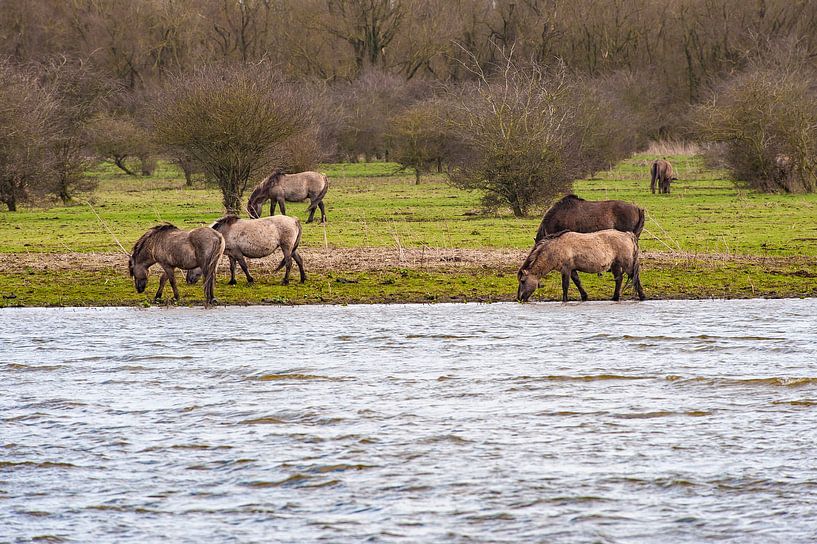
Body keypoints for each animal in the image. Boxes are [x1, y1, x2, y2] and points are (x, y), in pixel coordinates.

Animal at [516, 230, 644, 304]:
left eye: (522, 281)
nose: (519, 298)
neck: (555, 248)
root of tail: (628, 235)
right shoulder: (572, 269)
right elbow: (577, 282)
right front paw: (584, 296)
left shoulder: (566, 269)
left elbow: (565, 286)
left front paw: (565, 300)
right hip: (615, 265)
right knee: (619, 279)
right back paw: (614, 298)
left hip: (627, 264)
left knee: (635, 278)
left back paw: (642, 296)